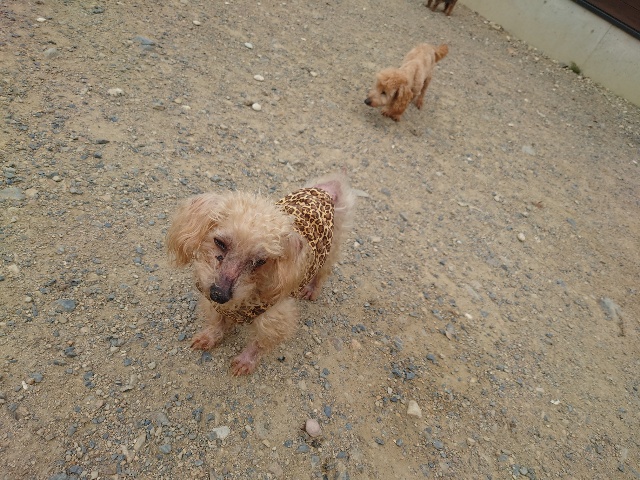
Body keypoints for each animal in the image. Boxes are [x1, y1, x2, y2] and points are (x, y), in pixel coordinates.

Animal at [166, 174, 355, 375]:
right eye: (219, 242)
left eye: (260, 261)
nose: (219, 294)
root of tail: (329, 188)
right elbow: (217, 321)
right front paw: (209, 337)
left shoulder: (274, 317)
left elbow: (259, 343)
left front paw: (244, 362)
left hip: (331, 249)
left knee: (322, 273)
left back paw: (311, 290)